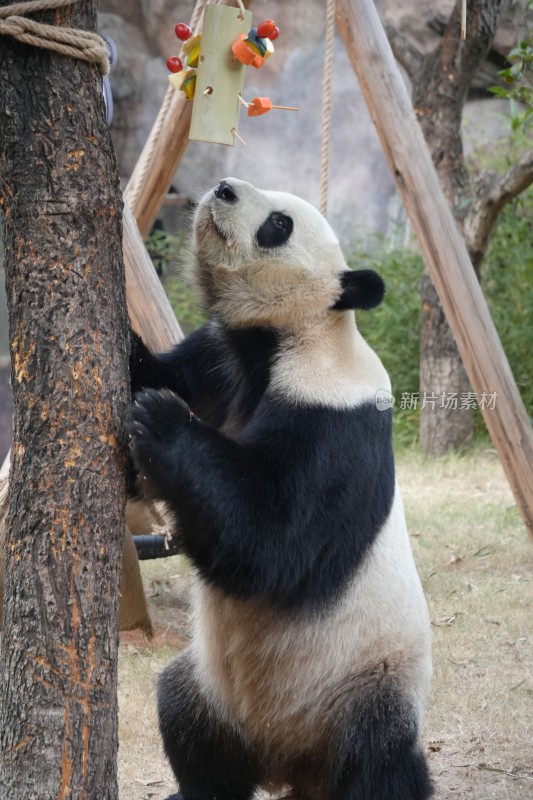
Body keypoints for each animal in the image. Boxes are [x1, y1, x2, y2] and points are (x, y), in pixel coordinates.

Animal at [129, 178, 432, 796]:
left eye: (278, 224)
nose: (222, 187)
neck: (285, 341)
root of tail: (288, 764)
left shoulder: (335, 420)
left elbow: (274, 539)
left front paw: (162, 421)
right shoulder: (218, 361)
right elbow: (160, 376)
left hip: (366, 684)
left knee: (381, 764)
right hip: (212, 686)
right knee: (185, 714)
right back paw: (195, 785)